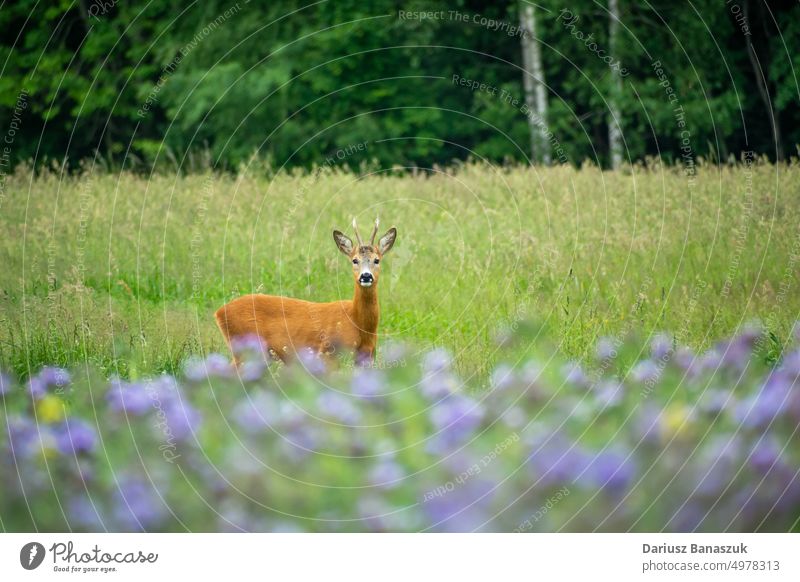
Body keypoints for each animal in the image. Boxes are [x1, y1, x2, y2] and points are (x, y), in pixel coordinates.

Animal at [216, 219, 396, 364]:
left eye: (377, 260)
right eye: (354, 260)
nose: (366, 276)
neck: (358, 322)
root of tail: (218, 312)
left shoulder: (367, 356)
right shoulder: (328, 352)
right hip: (245, 349)